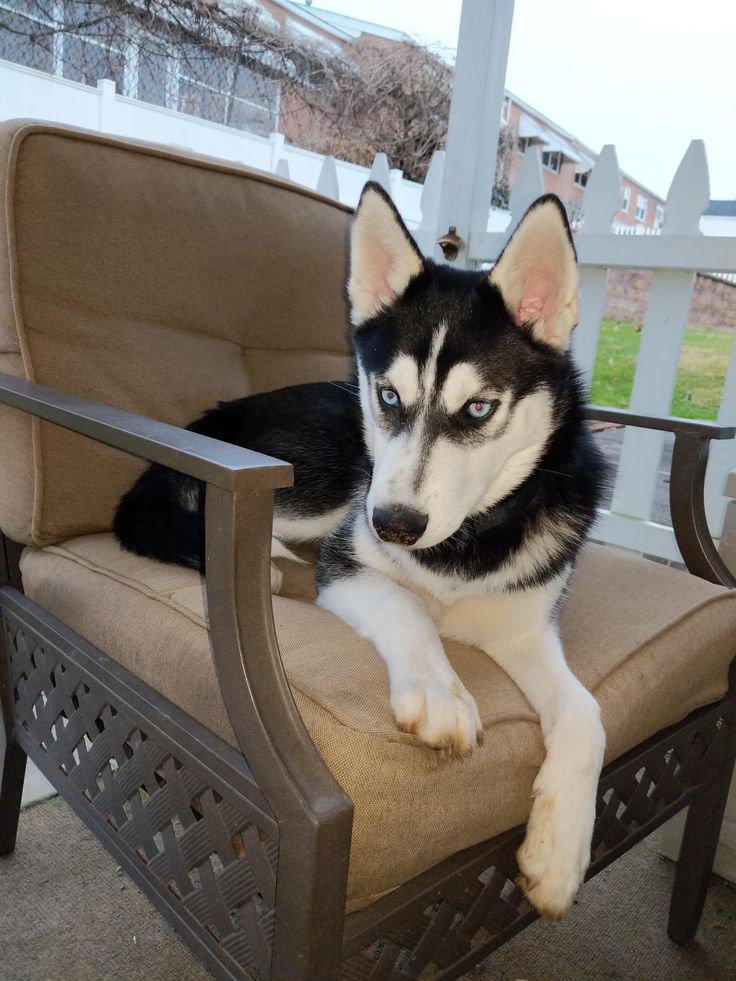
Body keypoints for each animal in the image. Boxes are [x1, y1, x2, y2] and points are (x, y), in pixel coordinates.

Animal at [116, 184, 608, 920]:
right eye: (389, 395)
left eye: (479, 408)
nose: (395, 525)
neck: (462, 543)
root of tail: (209, 421)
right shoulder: (348, 560)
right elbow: (404, 605)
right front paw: (439, 691)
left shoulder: (525, 626)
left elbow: (587, 714)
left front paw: (559, 855)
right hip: (327, 471)